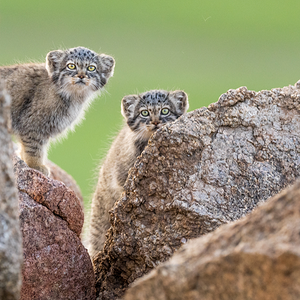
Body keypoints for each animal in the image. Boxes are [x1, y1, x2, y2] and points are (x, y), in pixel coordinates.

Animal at [0, 45, 115, 175]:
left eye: (91, 68)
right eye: (71, 66)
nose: (81, 76)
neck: (71, 96)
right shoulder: (33, 125)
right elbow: (34, 148)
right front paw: (35, 165)